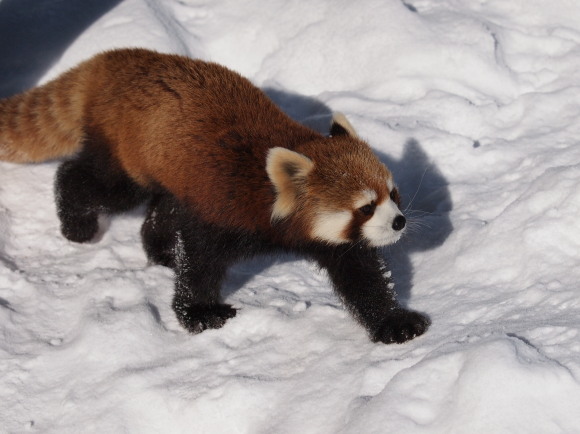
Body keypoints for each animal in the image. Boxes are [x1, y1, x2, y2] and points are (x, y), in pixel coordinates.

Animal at [0, 49, 426, 344]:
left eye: (393, 193)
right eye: (365, 208)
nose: (399, 221)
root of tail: (112, 60)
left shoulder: (332, 243)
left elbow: (362, 278)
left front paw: (394, 323)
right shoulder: (223, 207)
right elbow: (200, 261)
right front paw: (200, 313)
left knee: (163, 207)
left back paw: (161, 251)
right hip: (126, 154)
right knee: (96, 183)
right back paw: (77, 223)